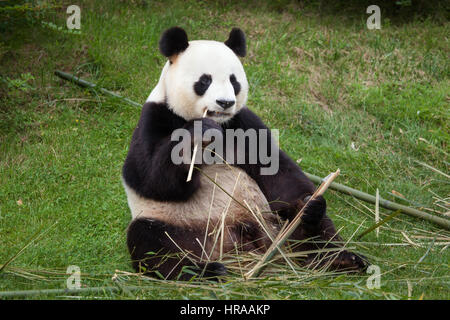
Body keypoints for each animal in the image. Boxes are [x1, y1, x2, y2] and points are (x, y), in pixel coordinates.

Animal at [122, 26, 366, 278]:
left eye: (233, 81)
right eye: (205, 80)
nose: (225, 102)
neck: (218, 124)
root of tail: (237, 246)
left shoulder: (245, 124)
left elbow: (279, 172)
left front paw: (308, 204)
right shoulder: (155, 116)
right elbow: (148, 177)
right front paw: (199, 133)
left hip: (271, 221)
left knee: (314, 229)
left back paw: (338, 256)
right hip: (182, 226)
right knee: (151, 241)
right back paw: (206, 271)